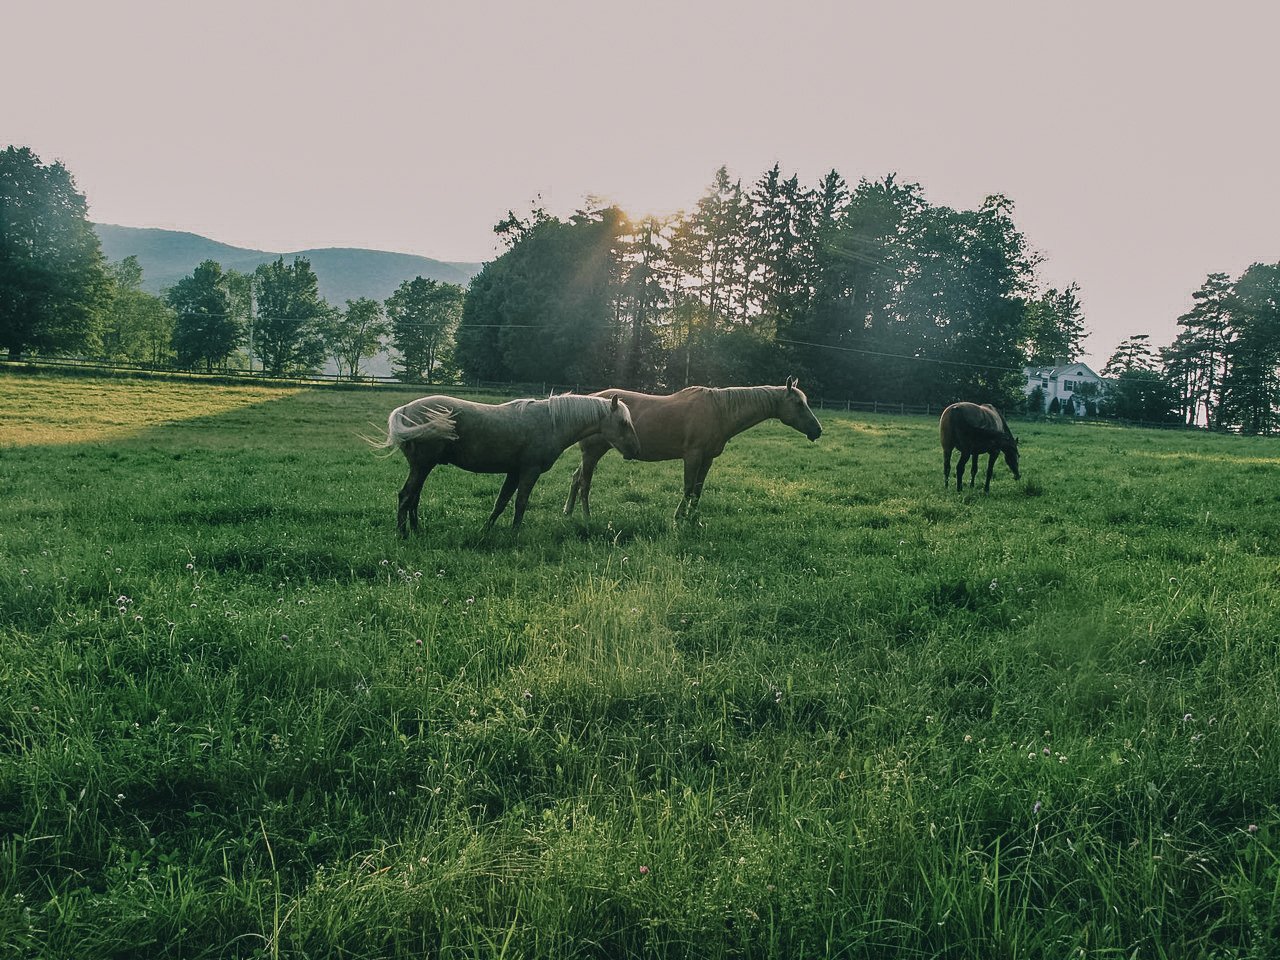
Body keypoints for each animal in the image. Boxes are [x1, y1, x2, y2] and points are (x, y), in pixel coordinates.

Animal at [377, 393, 640, 536]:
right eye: (623, 423)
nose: (635, 450)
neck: (551, 423)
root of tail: (405, 410)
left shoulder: (513, 472)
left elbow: (501, 503)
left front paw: (486, 530)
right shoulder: (529, 472)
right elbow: (520, 503)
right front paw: (514, 533)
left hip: (423, 467)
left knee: (414, 498)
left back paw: (416, 530)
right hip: (422, 466)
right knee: (406, 496)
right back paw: (403, 534)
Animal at [563, 377, 822, 524]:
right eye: (798, 403)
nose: (817, 431)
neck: (720, 411)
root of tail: (591, 399)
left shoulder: (707, 459)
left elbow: (697, 490)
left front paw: (693, 518)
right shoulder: (693, 456)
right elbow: (688, 488)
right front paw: (679, 517)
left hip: (593, 453)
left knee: (576, 478)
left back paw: (568, 512)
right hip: (592, 452)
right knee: (585, 482)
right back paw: (586, 518)